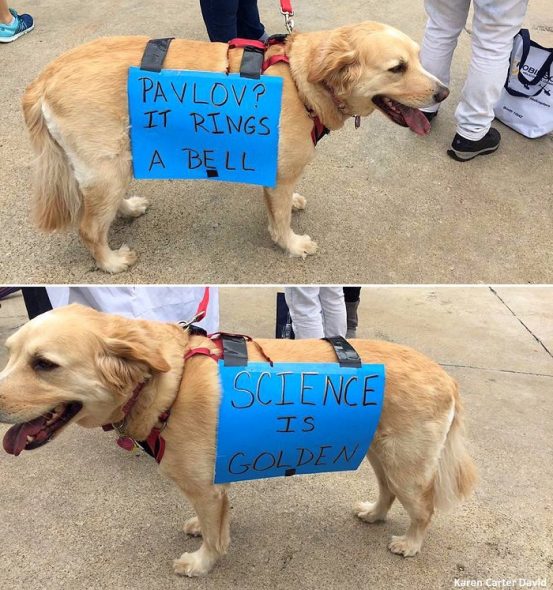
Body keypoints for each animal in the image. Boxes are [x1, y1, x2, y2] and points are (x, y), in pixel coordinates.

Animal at [0, 306, 474, 580]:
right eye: (10, 354)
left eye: (44, 364)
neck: (166, 384)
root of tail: (445, 374)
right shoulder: (210, 484)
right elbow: (212, 523)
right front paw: (199, 530)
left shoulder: (206, 486)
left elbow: (215, 537)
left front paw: (200, 564)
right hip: (377, 451)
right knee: (386, 491)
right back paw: (374, 514)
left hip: (405, 464)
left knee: (423, 509)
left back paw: (410, 544)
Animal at [22, 22, 448, 274]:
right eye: (397, 68)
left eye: (418, 59)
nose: (443, 92)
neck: (301, 79)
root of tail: (47, 75)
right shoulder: (280, 175)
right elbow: (280, 222)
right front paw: (292, 244)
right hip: (106, 168)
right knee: (89, 227)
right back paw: (110, 262)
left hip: (115, 162)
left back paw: (127, 209)